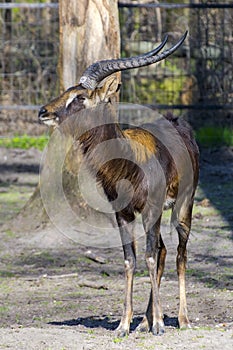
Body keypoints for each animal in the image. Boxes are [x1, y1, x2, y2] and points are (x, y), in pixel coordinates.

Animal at [38, 32, 198, 336]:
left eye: (80, 96)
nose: (43, 112)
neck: (128, 162)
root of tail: (179, 124)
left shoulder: (151, 210)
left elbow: (148, 256)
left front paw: (160, 325)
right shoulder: (122, 214)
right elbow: (130, 259)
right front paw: (124, 325)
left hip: (183, 207)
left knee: (179, 254)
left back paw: (182, 319)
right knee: (163, 250)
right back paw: (145, 321)